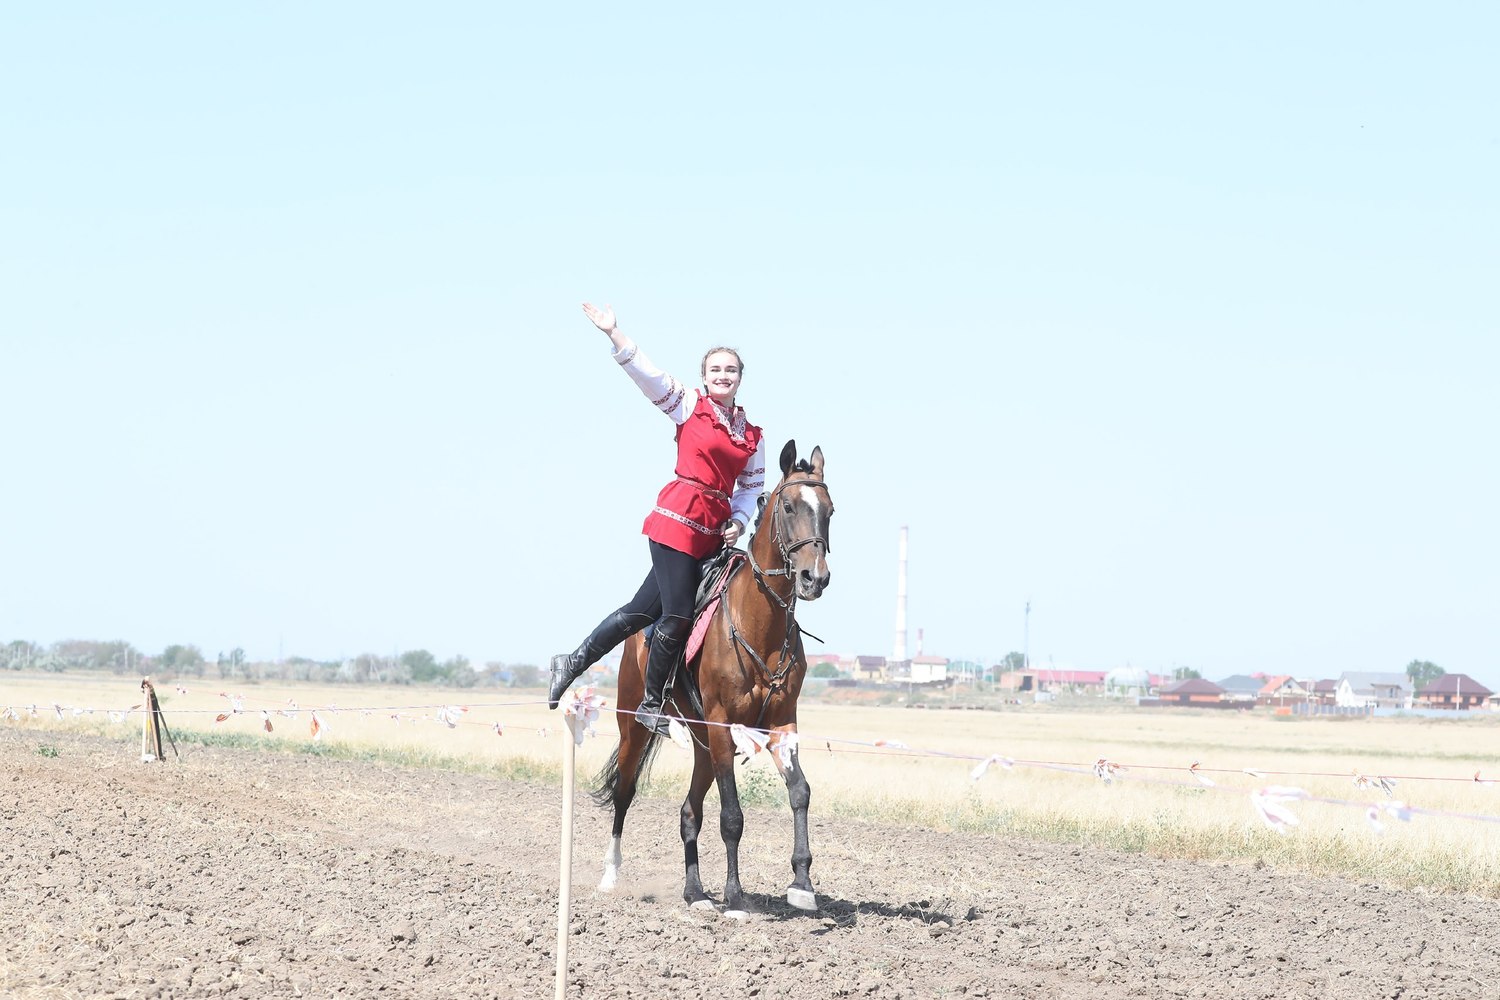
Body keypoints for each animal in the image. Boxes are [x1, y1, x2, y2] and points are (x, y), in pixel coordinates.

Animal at [594, 440, 834, 917]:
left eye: (830, 511)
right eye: (790, 506)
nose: (814, 578)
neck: (760, 627)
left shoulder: (782, 723)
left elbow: (800, 791)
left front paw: (801, 883)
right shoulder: (724, 723)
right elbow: (732, 816)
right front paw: (737, 898)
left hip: (703, 743)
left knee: (689, 812)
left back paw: (696, 892)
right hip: (635, 727)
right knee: (625, 792)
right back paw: (612, 875)